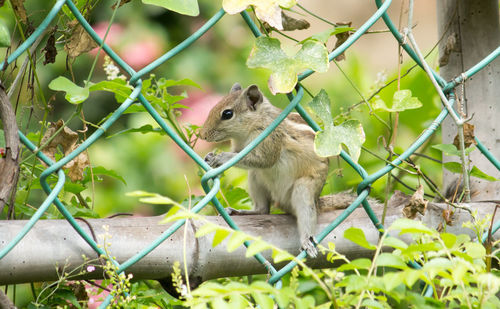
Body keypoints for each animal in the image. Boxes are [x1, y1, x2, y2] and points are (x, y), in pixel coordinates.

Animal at [199, 83, 356, 256]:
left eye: (227, 114)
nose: (202, 135)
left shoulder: (270, 140)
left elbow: (258, 159)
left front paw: (220, 158)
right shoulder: (240, 146)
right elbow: (238, 154)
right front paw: (208, 156)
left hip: (304, 188)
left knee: (306, 213)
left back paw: (307, 241)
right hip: (255, 178)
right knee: (263, 210)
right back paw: (240, 212)